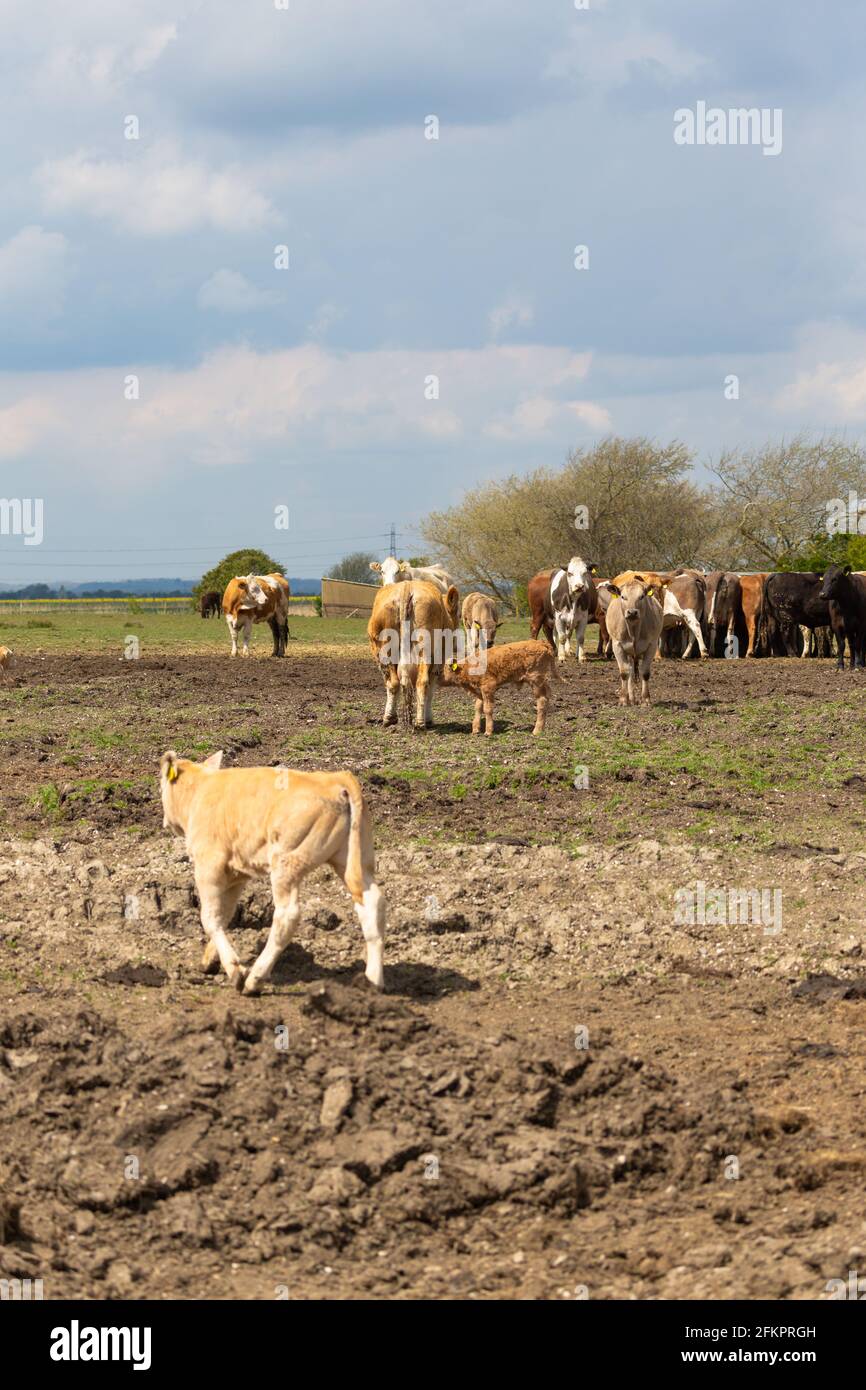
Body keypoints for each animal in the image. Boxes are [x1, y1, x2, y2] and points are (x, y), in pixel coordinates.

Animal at [159, 751, 385, 994]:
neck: (200, 789)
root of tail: (335, 780)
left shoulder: (209, 863)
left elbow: (210, 917)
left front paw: (234, 969)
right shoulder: (236, 873)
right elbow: (225, 914)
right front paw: (210, 960)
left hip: (287, 863)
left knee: (287, 916)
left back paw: (254, 979)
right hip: (355, 859)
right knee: (372, 903)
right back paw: (373, 981)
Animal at [367, 579, 459, 728]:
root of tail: (407, 586)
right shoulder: (439, 659)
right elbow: (431, 687)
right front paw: (428, 719)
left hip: (384, 650)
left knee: (393, 683)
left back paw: (390, 718)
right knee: (421, 682)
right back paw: (420, 722)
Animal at [604, 576, 665, 705]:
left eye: (641, 596)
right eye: (623, 596)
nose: (632, 612)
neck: (633, 630)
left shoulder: (652, 645)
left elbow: (645, 672)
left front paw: (646, 699)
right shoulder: (617, 646)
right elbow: (624, 672)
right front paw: (623, 699)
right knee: (630, 672)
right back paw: (630, 698)